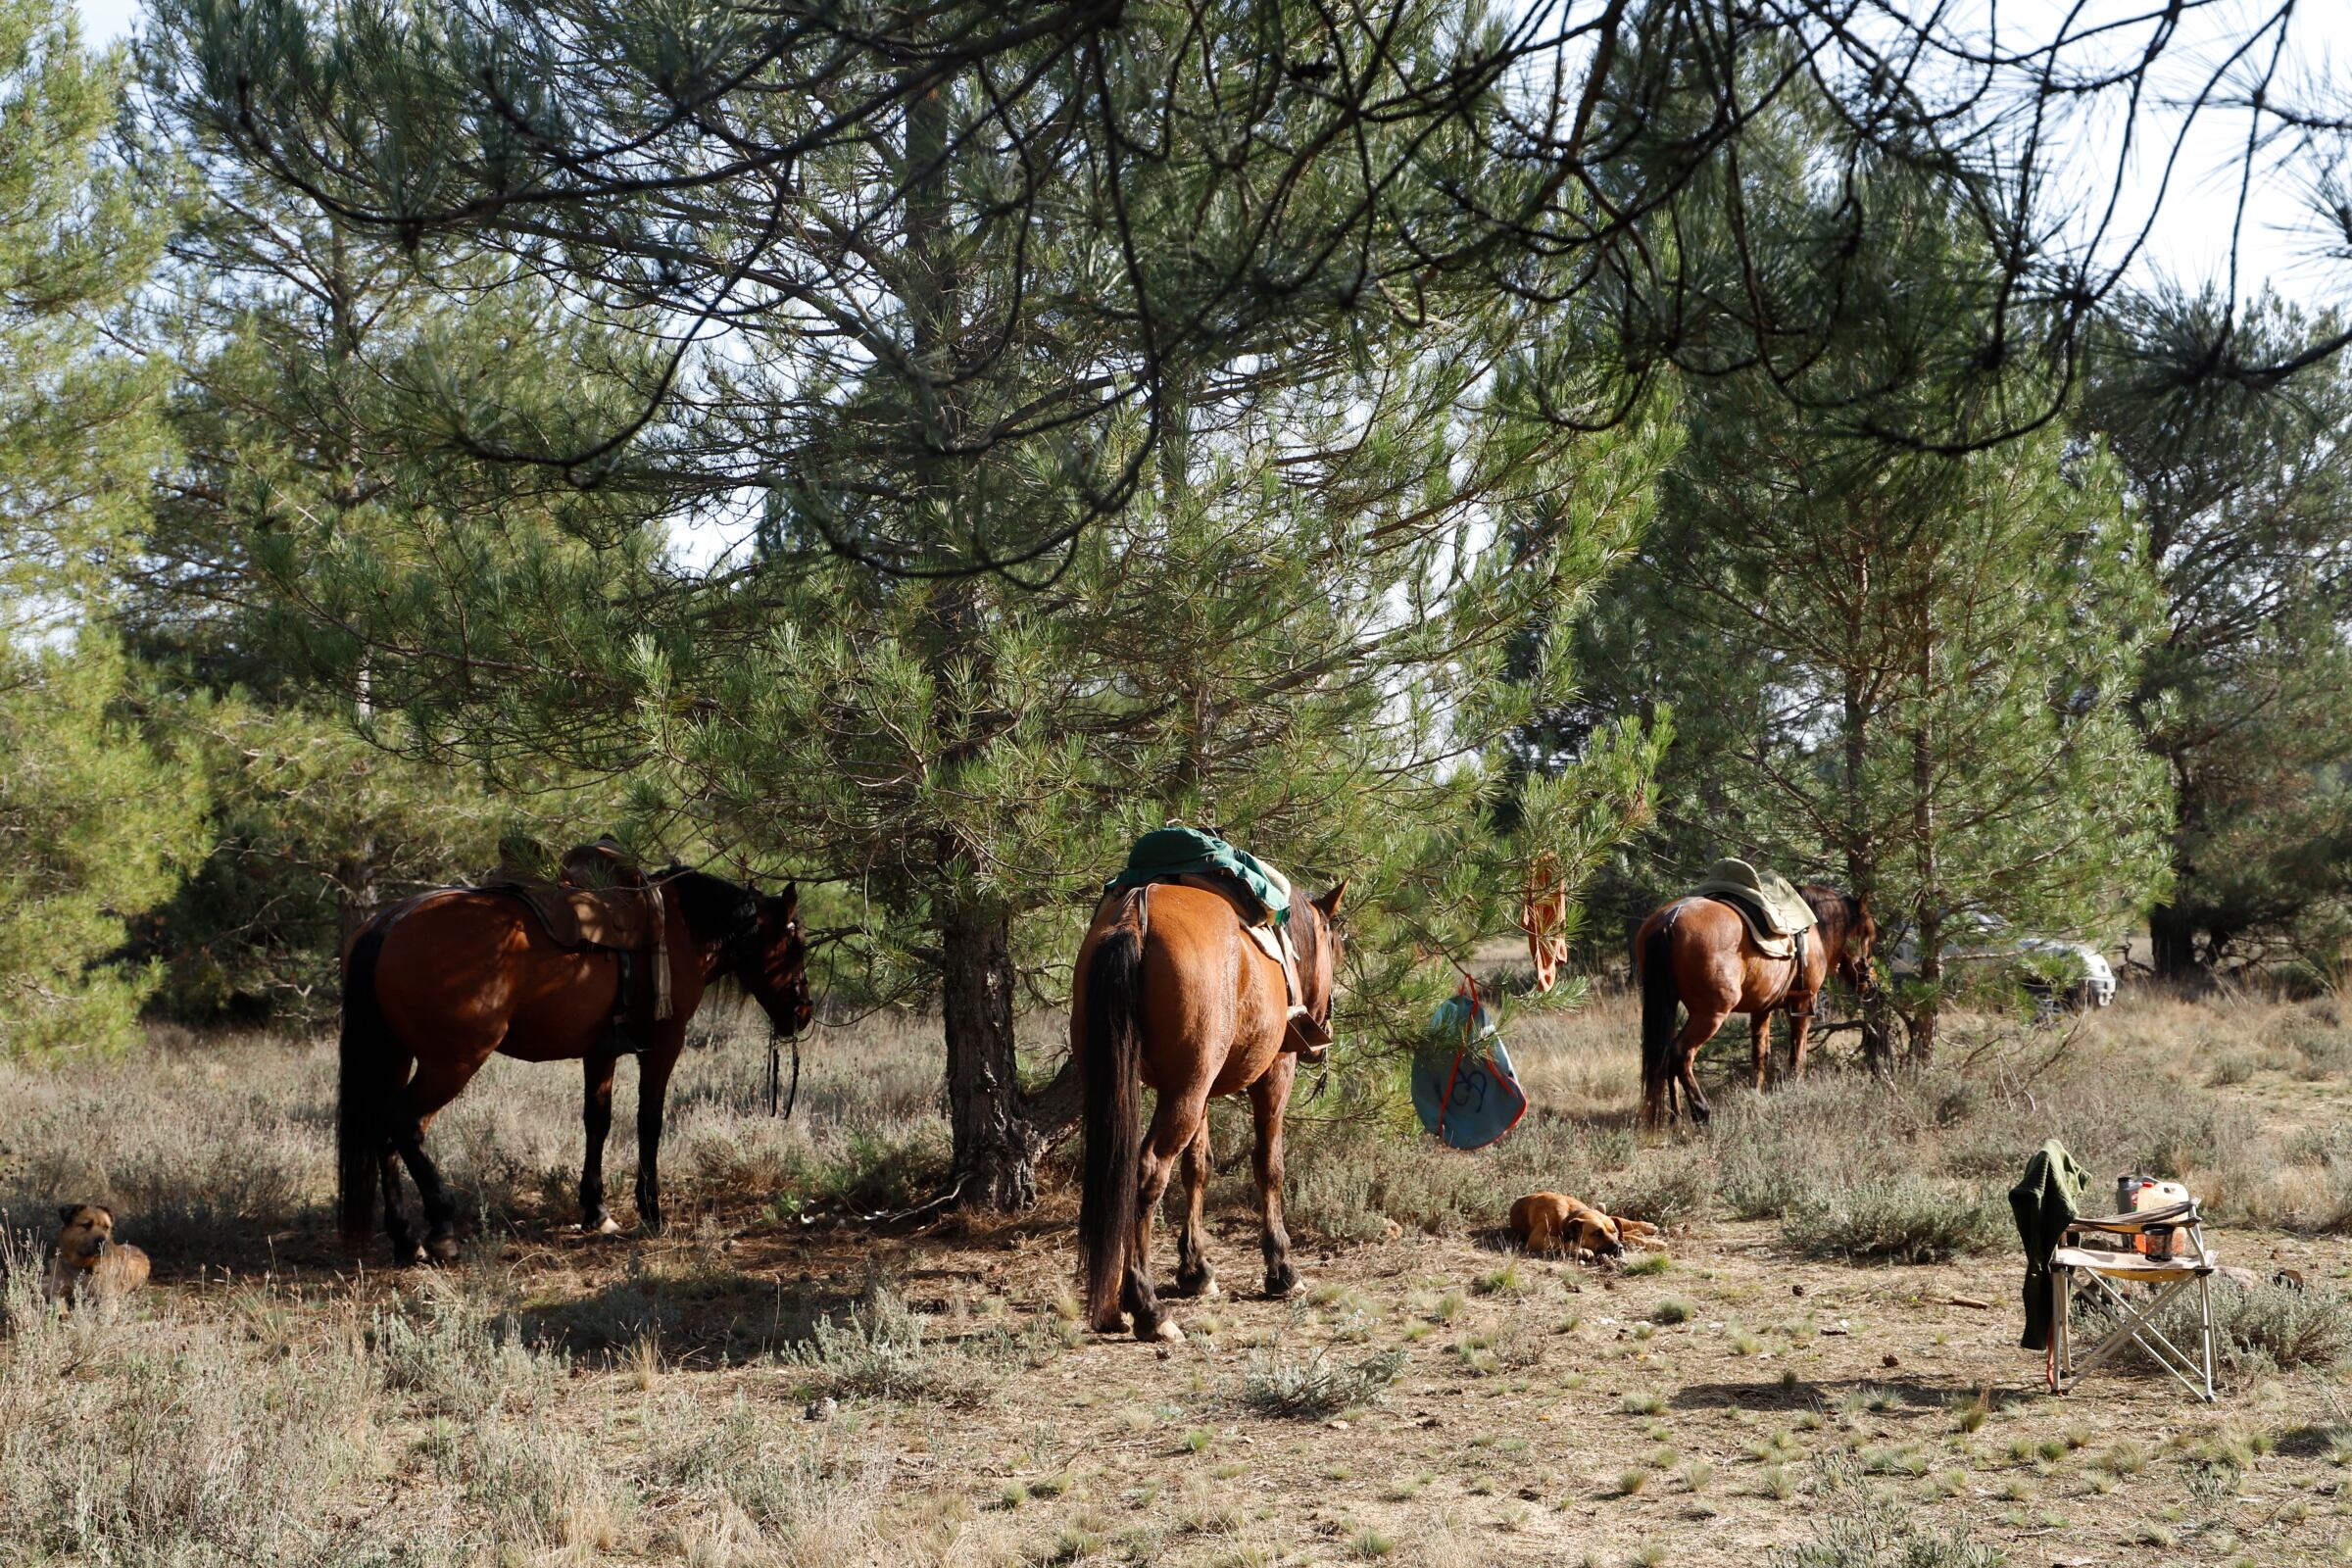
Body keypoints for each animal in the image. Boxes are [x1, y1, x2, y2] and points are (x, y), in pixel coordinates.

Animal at [331, 846, 808, 1259]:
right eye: (797, 946)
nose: (803, 1013)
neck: (679, 927)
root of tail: (391, 922)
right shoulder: (664, 1043)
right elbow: (649, 1122)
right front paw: (651, 1209)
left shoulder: (600, 1051)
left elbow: (597, 1121)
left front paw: (596, 1209)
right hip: (452, 1063)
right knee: (405, 1123)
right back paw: (442, 1228)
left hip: (398, 1057)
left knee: (384, 1129)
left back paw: (403, 1235)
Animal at [1077, 827, 1354, 1345]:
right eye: (1336, 951)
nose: (1324, 1032)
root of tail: (1134, 916)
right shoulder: (1274, 1075)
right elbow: (1269, 1165)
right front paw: (1281, 1269)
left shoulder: (1198, 1090)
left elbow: (1198, 1168)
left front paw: (1196, 1269)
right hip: (1186, 1093)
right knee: (1148, 1171)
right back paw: (1147, 1307)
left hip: (1153, 1088)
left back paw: (1113, 1303)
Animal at [1514, 1189, 1665, 1259]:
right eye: (1597, 1233)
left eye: (1614, 1231)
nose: (1619, 1248)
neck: (1568, 1216)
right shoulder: (1537, 1238)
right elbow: (1561, 1240)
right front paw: (1581, 1249)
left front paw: (1653, 1242)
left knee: (1621, 1221)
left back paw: (1646, 1227)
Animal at [1637, 859, 1872, 1128]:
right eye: (1868, 934)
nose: (1869, 982)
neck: (1816, 931)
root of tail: (1670, 920)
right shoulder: (1803, 1002)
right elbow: (1797, 1054)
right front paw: (1796, 1088)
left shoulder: (1762, 1009)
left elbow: (1760, 1055)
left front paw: (1756, 1095)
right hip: (1710, 1015)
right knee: (1681, 1053)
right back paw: (1701, 1111)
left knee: (1667, 1057)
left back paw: (1675, 1117)